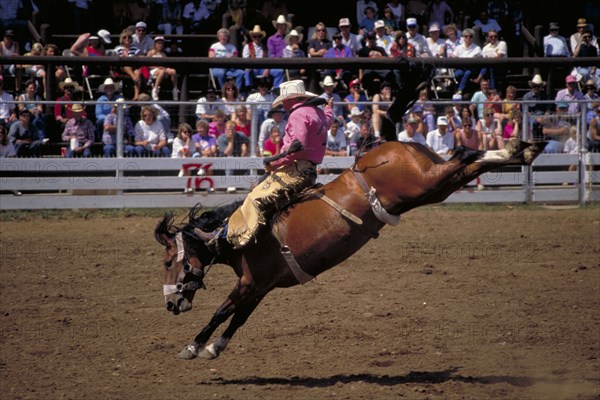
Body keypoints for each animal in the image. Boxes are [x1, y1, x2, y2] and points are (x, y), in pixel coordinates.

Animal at [154, 137, 544, 360]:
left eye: (169, 260)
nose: (171, 304)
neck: (232, 235)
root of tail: (394, 146)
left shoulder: (251, 282)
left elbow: (222, 311)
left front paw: (193, 347)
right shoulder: (260, 286)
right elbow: (239, 317)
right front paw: (214, 347)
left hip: (423, 183)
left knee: (463, 155)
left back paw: (518, 147)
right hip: (432, 190)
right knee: (466, 163)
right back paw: (523, 148)